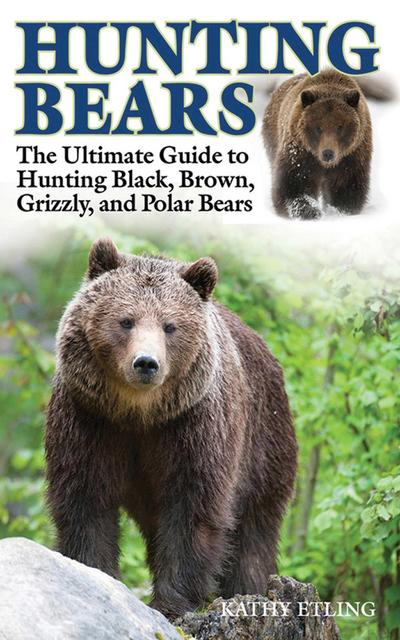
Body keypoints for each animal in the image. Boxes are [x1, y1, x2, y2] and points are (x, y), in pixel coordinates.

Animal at [45, 237, 298, 619]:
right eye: (126, 320)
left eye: (170, 325)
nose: (146, 363)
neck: (139, 414)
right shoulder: (89, 418)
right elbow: (85, 497)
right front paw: (94, 573)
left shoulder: (194, 426)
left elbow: (191, 508)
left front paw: (173, 602)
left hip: (265, 443)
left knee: (254, 532)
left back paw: (248, 589)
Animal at [262, 69, 374, 219]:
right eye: (318, 127)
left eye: (340, 127)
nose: (328, 153)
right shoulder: (301, 152)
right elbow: (294, 183)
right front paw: (309, 211)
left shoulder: (352, 156)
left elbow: (346, 186)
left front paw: (339, 211)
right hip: (272, 137)